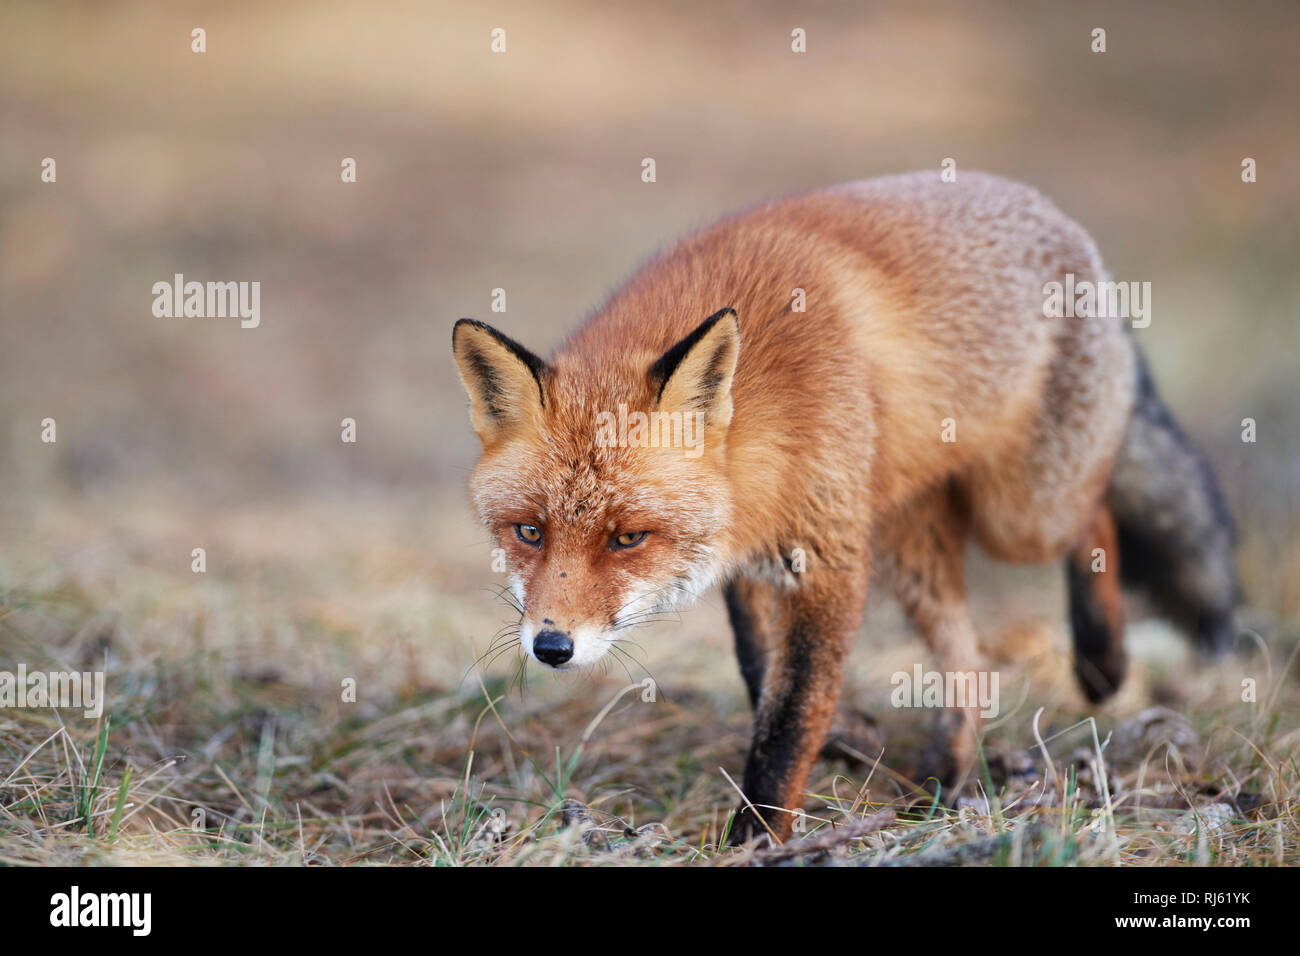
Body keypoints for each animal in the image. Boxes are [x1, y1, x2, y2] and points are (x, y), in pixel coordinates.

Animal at [451, 171, 1240, 845]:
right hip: (911, 547)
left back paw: (1102, 658)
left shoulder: (828, 560)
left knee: (1095, 512)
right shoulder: (750, 557)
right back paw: (948, 779)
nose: (552, 648)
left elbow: (791, 714)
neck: (763, 422)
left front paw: (758, 835)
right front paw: (851, 740)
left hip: (1020, 511)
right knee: (970, 660)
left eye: (627, 538)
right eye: (529, 531)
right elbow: (760, 675)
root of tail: (1053, 212)